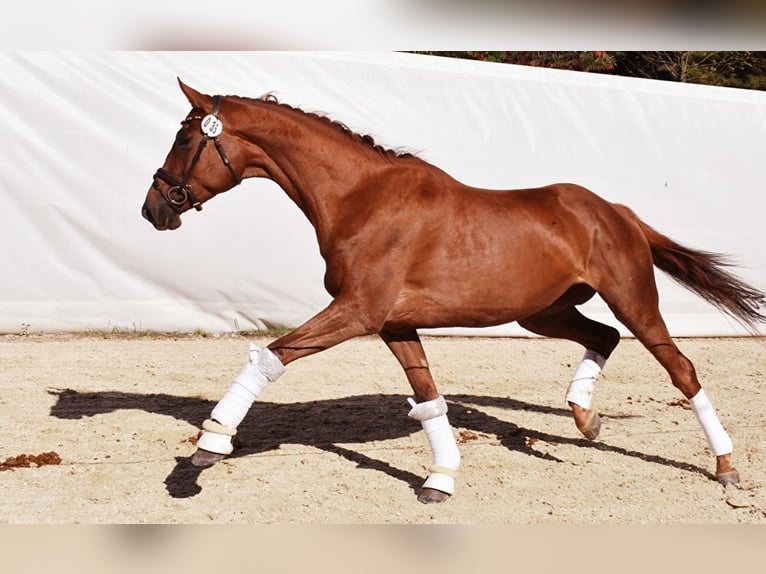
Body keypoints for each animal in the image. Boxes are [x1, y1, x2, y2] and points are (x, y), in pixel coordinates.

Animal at [141, 80, 764, 504]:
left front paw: (206, 450)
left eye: (184, 136)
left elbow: (269, 358)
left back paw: (725, 467)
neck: (360, 198)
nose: (153, 210)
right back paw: (586, 420)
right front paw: (440, 479)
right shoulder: (393, 323)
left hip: (633, 301)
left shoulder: (357, 312)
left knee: (681, 369)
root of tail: (616, 212)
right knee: (604, 338)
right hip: (545, 313)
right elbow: (429, 397)